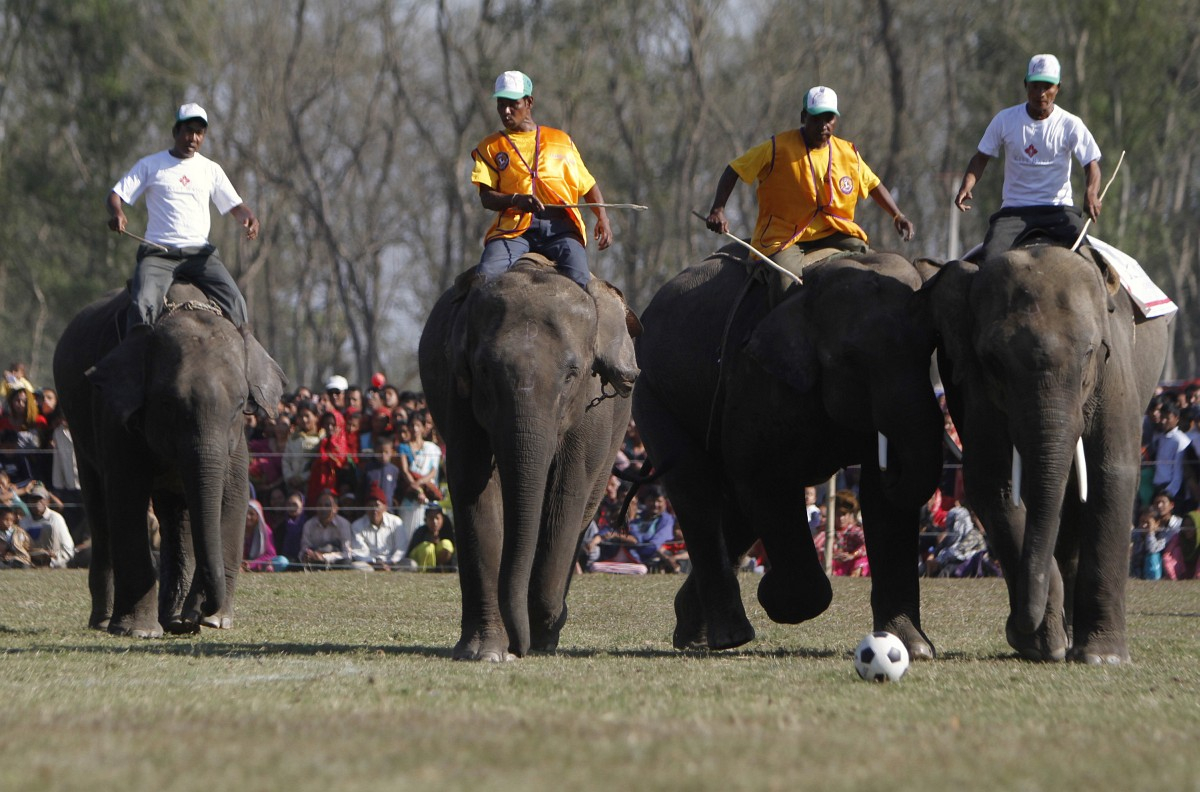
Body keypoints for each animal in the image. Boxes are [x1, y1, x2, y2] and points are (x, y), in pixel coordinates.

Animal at [53, 283, 285, 638]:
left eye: (240, 405)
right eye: (168, 404)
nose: (198, 613)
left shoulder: (237, 438)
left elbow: (233, 495)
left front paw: (213, 621)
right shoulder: (115, 414)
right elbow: (126, 494)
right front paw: (140, 631)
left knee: (175, 514)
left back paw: (173, 620)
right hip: (77, 426)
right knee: (100, 507)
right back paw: (107, 622)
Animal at [417, 261, 638, 662]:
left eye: (572, 374)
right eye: (484, 370)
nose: (518, 649)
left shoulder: (592, 411)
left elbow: (567, 494)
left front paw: (541, 631)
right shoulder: (458, 393)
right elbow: (474, 484)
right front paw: (486, 651)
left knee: (584, 510)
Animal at [628, 247, 945, 657]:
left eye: (931, 348)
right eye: (850, 358)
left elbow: (882, 501)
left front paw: (913, 649)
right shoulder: (756, 382)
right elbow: (765, 478)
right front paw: (772, 596)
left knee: (734, 507)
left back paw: (692, 633)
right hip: (653, 391)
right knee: (695, 488)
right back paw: (729, 636)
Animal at [921, 242, 1166, 662]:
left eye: (1090, 352)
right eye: (995, 362)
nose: (1016, 625)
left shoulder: (1115, 368)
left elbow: (1112, 472)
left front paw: (1103, 657)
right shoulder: (976, 386)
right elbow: (992, 481)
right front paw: (1043, 645)